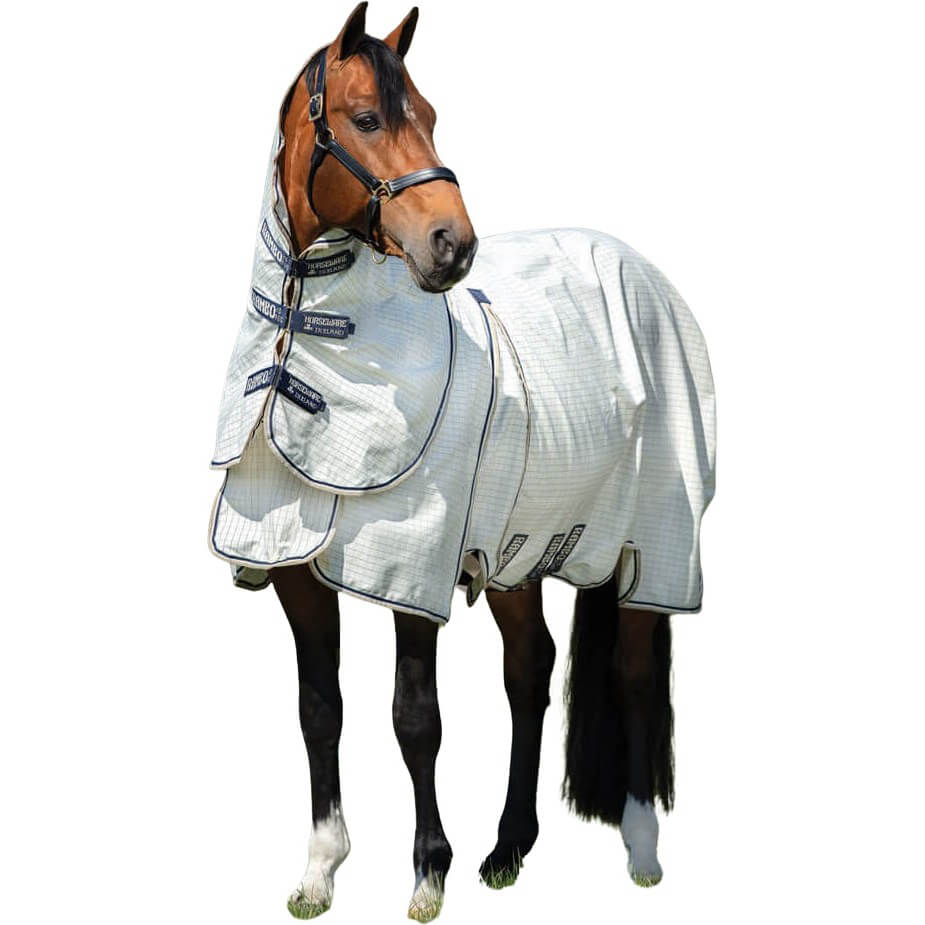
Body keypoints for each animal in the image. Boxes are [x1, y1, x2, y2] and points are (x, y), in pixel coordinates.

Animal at [208, 4, 715, 920]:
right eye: (366, 118)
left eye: (431, 116)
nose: (453, 245)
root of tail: (645, 275)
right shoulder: (296, 572)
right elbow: (319, 709)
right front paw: (320, 869)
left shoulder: (410, 567)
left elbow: (416, 718)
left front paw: (426, 873)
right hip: (522, 550)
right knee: (531, 671)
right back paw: (509, 847)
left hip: (651, 549)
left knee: (629, 669)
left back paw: (639, 850)